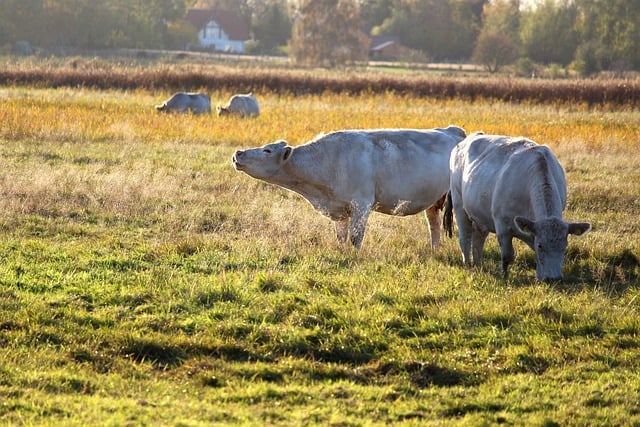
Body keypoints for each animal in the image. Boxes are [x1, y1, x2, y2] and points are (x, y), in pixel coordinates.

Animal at [232, 125, 468, 249]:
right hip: (434, 202)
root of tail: (452, 131)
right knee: (434, 226)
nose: (238, 153)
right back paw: (434, 250)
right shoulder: (339, 209)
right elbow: (342, 237)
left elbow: (355, 237)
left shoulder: (361, 205)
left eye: (267, 150)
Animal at [444, 132, 592, 282]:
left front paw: (539, 276)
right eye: (541, 245)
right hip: (459, 204)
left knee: (478, 239)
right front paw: (504, 275)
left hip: (480, 215)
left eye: (565, 247)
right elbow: (507, 255)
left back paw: (478, 264)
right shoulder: (502, 226)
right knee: (465, 237)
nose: (554, 278)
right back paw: (468, 264)